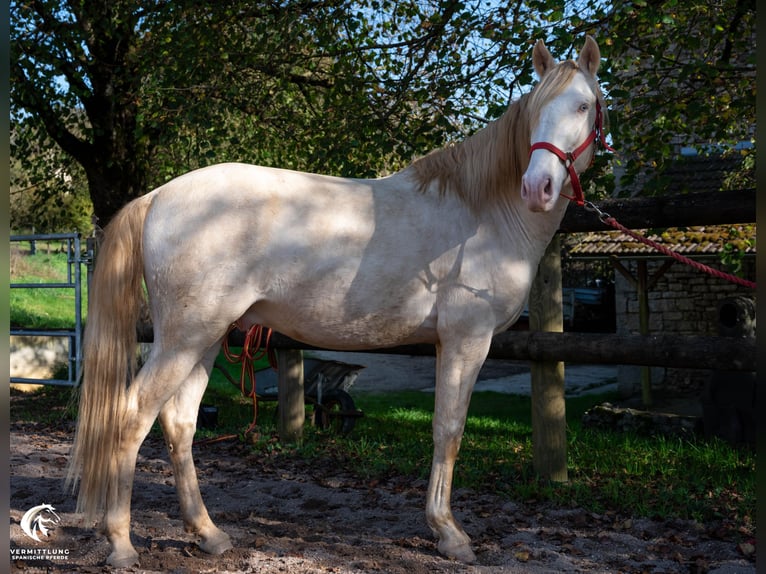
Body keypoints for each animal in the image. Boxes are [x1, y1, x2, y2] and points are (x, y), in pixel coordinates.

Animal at [69, 37, 616, 572]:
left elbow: (444, 428)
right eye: (538, 108)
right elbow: (449, 430)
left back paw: (209, 534)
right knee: (131, 416)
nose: (538, 187)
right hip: (183, 339)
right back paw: (121, 544)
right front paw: (450, 534)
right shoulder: (467, 341)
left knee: (179, 422)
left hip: (206, 339)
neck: (483, 211)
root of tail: (158, 197)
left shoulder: (450, 344)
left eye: (583, 105)